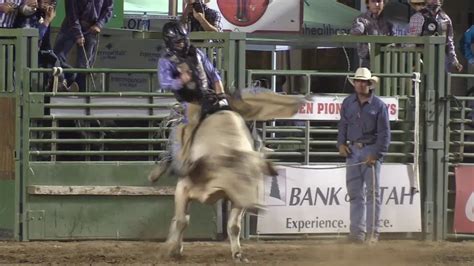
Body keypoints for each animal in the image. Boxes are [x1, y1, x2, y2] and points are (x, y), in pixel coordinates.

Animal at [146, 89, 306, 262]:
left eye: (259, 177)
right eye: (241, 176)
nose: (257, 207)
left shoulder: (238, 199)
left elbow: (234, 226)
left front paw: (238, 254)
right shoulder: (183, 188)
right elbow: (182, 221)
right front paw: (171, 251)